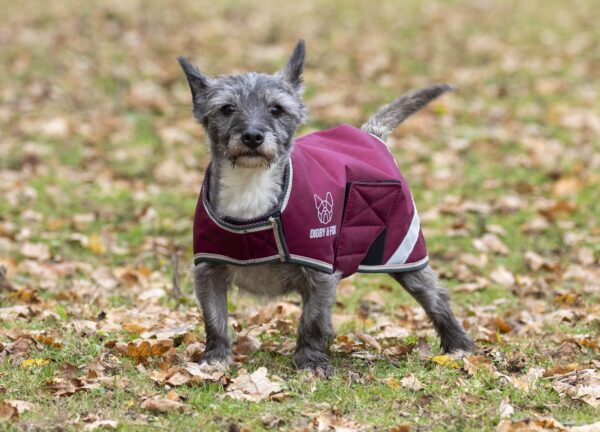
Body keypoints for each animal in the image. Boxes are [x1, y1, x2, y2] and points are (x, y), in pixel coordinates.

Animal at [178, 41, 474, 378]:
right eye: (227, 109)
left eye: (276, 109)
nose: (253, 136)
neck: (251, 190)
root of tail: (371, 135)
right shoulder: (209, 272)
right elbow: (215, 319)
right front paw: (215, 358)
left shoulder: (319, 273)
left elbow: (312, 321)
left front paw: (310, 362)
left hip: (403, 254)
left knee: (436, 297)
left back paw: (458, 346)